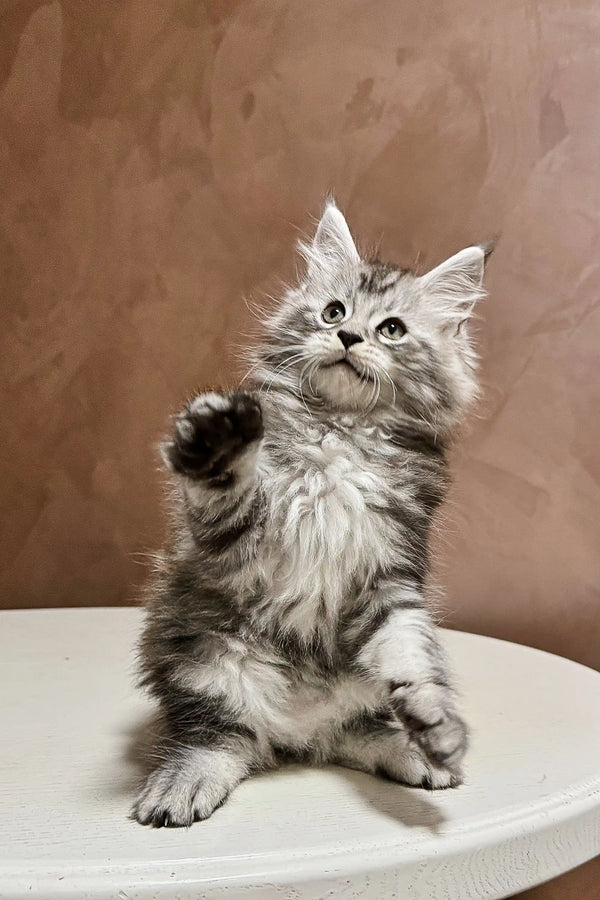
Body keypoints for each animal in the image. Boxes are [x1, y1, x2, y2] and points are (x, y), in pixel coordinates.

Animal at [132, 200, 488, 828]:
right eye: (333, 311)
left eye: (391, 328)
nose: (346, 336)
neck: (343, 436)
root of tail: (297, 734)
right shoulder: (243, 543)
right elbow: (228, 491)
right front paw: (218, 443)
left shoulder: (390, 573)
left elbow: (411, 651)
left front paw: (434, 720)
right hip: (202, 660)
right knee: (214, 737)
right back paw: (183, 783)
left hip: (353, 691)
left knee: (359, 729)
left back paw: (413, 751)